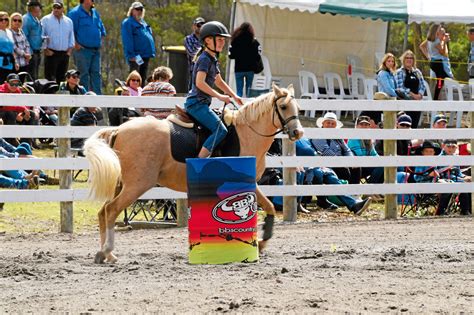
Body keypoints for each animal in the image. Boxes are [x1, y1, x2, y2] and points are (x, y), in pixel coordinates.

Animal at [84, 84, 304, 264]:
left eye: (298, 108)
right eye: (284, 107)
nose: (298, 133)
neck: (246, 133)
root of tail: (118, 129)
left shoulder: (250, 184)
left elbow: (269, 207)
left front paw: (262, 241)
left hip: (122, 185)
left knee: (103, 212)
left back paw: (107, 254)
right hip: (136, 185)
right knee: (111, 210)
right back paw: (107, 251)